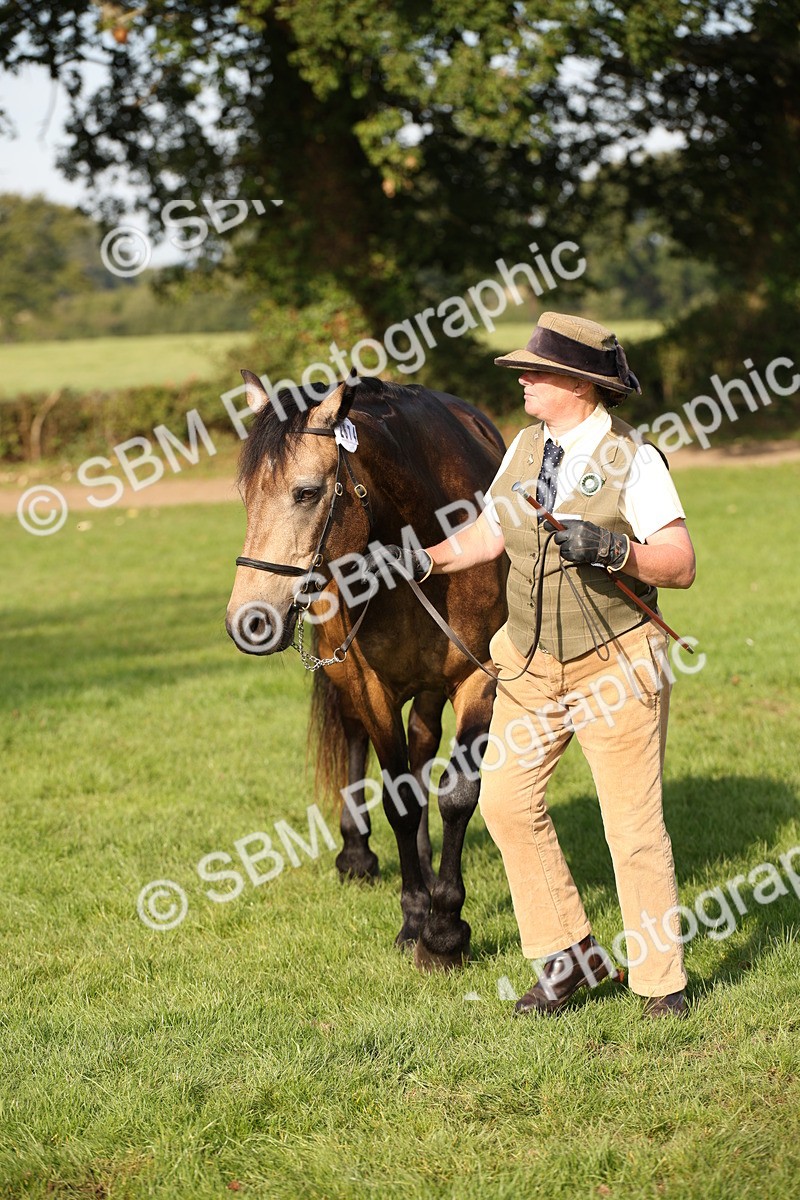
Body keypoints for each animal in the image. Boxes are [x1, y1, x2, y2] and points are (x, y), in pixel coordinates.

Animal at [226, 371, 508, 971]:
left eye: (307, 492)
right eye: (245, 496)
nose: (249, 622)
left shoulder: (481, 677)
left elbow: (455, 794)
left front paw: (445, 929)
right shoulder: (369, 684)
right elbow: (397, 797)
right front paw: (417, 919)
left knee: (423, 745)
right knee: (358, 737)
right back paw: (356, 852)